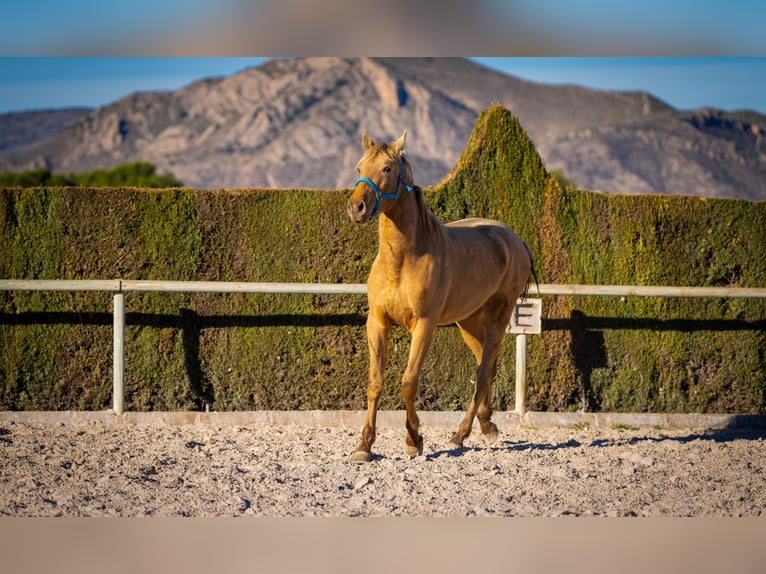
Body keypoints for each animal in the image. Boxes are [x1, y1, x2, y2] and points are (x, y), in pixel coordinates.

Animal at [346, 130, 536, 464]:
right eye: (359, 168)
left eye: (387, 169)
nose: (356, 207)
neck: (402, 259)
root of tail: (515, 240)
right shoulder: (377, 322)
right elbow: (375, 382)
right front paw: (364, 446)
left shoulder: (424, 325)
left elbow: (409, 382)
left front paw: (414, 440)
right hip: (469, 322)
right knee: (486, 368)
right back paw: (486, 426)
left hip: (498, 318)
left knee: (483, 372)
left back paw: (461, 434)